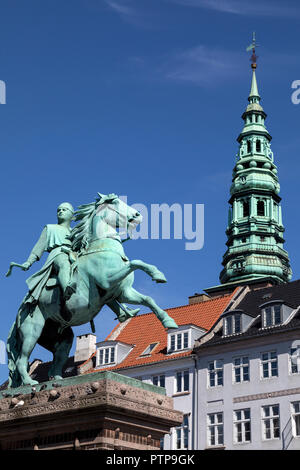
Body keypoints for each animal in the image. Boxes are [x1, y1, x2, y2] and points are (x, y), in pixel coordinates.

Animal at [7, 193, 178, 388]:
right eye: (115, 202)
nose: (137, 215)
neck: (102, 248)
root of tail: (19, 312)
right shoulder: (109, 280)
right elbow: (136, 262)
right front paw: (157, 273)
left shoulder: (123, 292)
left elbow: (148, 299)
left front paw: (168, 320)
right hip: (32, 331)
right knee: (21, 360)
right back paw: (29, 382)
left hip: (61, 337)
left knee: (56, 361)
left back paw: (59, 380)